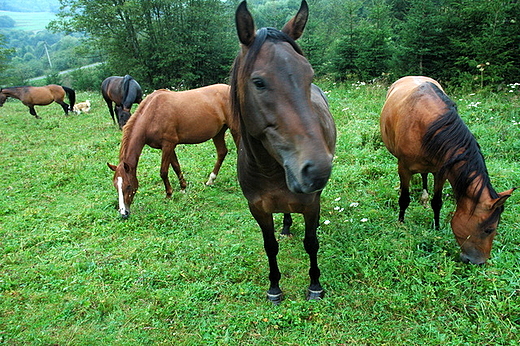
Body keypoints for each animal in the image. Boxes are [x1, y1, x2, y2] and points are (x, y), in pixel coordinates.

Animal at [109, 83, 240, 218]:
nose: (124, 213)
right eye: (116, 186)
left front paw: (169, 194)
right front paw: (183, 188)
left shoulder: (168, 145)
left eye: (128, 186)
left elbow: (163, 172)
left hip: (235, 128)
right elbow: (176, 167)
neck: (152, 114)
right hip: (218, 133)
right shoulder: (168, 147)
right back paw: (211, 180)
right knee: (222, 152)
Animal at [232, 0, 338, 302]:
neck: (270, 171)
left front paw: (315, 285)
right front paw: (274, 287)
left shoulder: (311, 204)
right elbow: (270, 246)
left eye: (308, 75)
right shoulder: (258, 209)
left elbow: (311, 242)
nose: (317, 169)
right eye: (258, 82)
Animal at [380, 75, 512, 264]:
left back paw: (424, 198)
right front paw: (401, 223)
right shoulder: (404, 169)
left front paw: (436, 227)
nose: (479, 262)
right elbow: (404, 199)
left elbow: (437, 202)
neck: (426, 125)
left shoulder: (441, 171)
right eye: (489, 229)